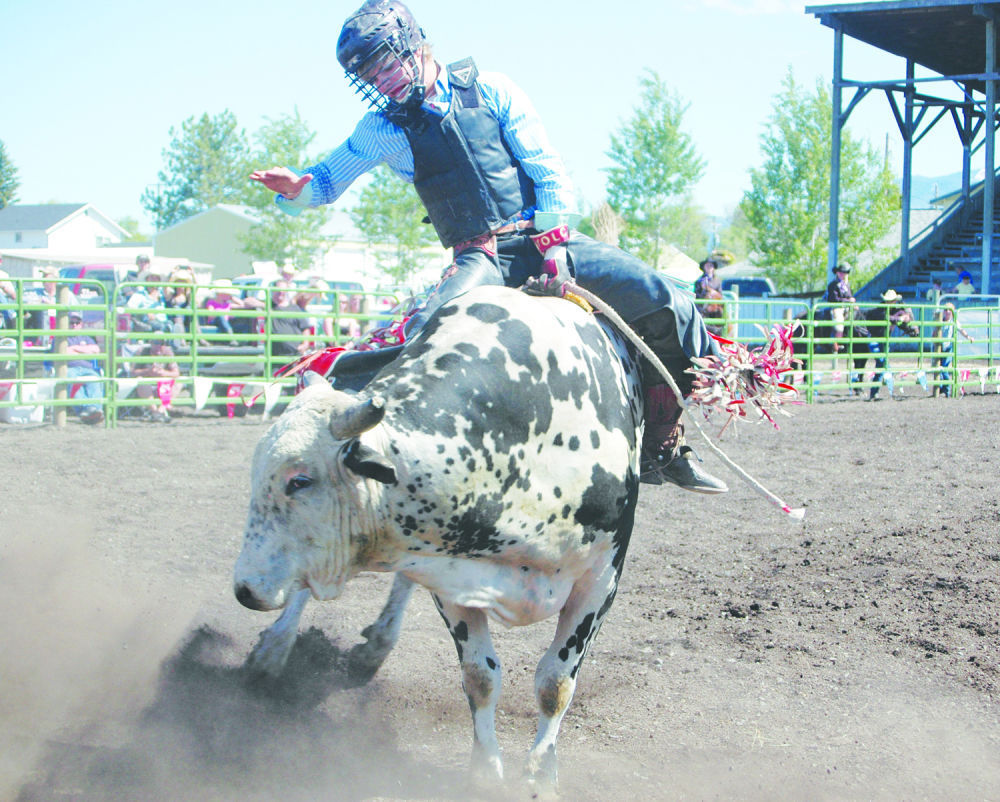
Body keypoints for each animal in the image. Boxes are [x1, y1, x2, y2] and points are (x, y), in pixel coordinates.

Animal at [231, 286, 644, 788]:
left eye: (300, 480)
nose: (244, 589)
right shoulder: (453, 573)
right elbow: (479, 677)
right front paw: (485, 772)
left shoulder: (601, 577)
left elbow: (555, 683)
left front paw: (540, 775)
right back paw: (275, 650)